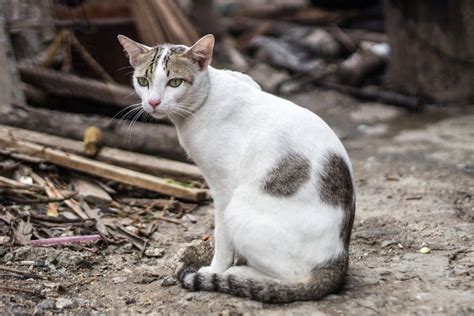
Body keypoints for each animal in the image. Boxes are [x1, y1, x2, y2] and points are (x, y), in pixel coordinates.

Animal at [118, 33, 356, 302]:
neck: (206, 96)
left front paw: (216, 269)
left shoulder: (224, 187)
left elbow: (222, 238)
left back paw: (241, 274)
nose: (153, 102)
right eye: (143, 81)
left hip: (238, 209)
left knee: (290, 276)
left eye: (175, 82)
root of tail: (338, 259)